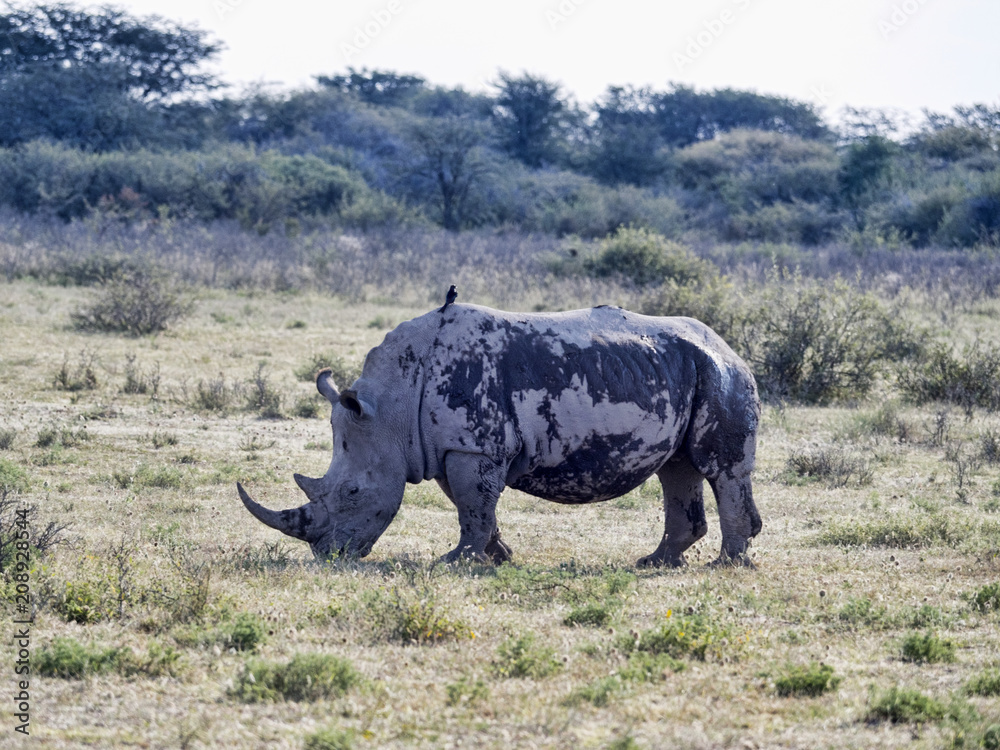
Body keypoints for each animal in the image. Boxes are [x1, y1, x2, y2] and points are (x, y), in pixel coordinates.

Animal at [237, 303, 762, 567]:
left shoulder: (474, 446)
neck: (391, 407)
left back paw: (726, 566)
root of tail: (728, 344)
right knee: (678, 467)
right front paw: (497, 557)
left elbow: (472, 506)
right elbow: (471, 504)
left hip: (721, 373)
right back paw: (655, 563)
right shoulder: (450, 446)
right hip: (687, 368)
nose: (328, 555)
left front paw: (454, 562)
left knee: (719, 468)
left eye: (351, 492)